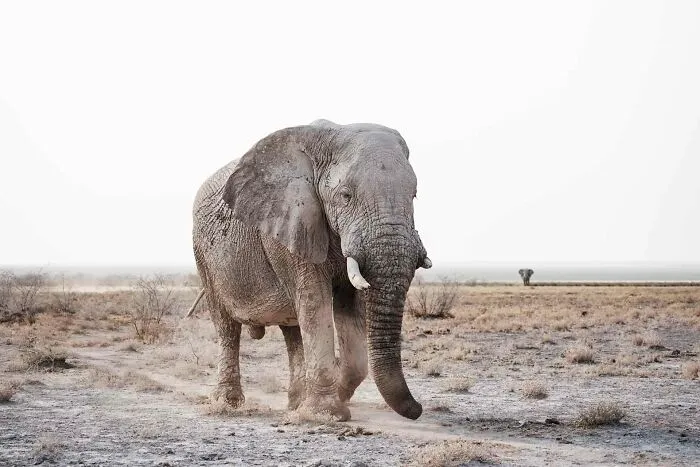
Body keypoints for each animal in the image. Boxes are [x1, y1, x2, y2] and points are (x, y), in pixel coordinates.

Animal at [191, 119, 431, 421]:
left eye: (414, 195)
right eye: (345, 196)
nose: (418, 410)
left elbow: (348, 310)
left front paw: (326, 404)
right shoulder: (290, 221)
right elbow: (315, 301)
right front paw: (327, 415)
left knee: (292, 330)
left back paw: (295, 403)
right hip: (203, 255)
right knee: (226, 327)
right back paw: (227, 403)